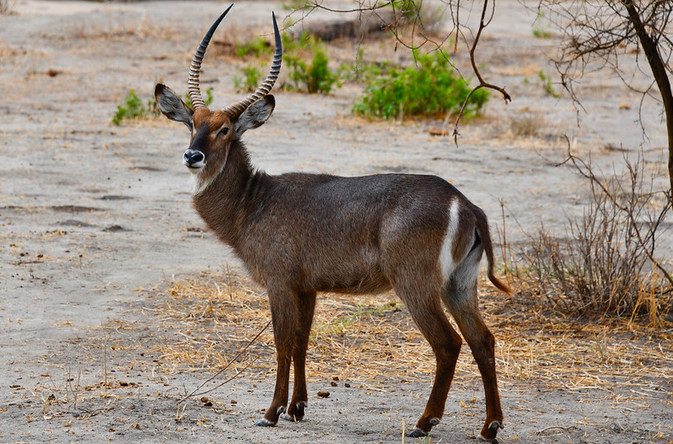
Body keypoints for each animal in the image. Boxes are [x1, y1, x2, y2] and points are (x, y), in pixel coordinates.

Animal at [155, 6, 510, 442]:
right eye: (192, 124)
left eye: (224, 129)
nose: (193, 156)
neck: (252, 200)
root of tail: (465, 203)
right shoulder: (307, 288)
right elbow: (302, 342)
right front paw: (297, 408)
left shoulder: (279, 282)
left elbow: (281, 342)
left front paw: (271, 412)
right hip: (459, 283)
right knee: (483, 340)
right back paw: (490, 425)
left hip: (416, 283)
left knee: (448, 344)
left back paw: (425, 422)